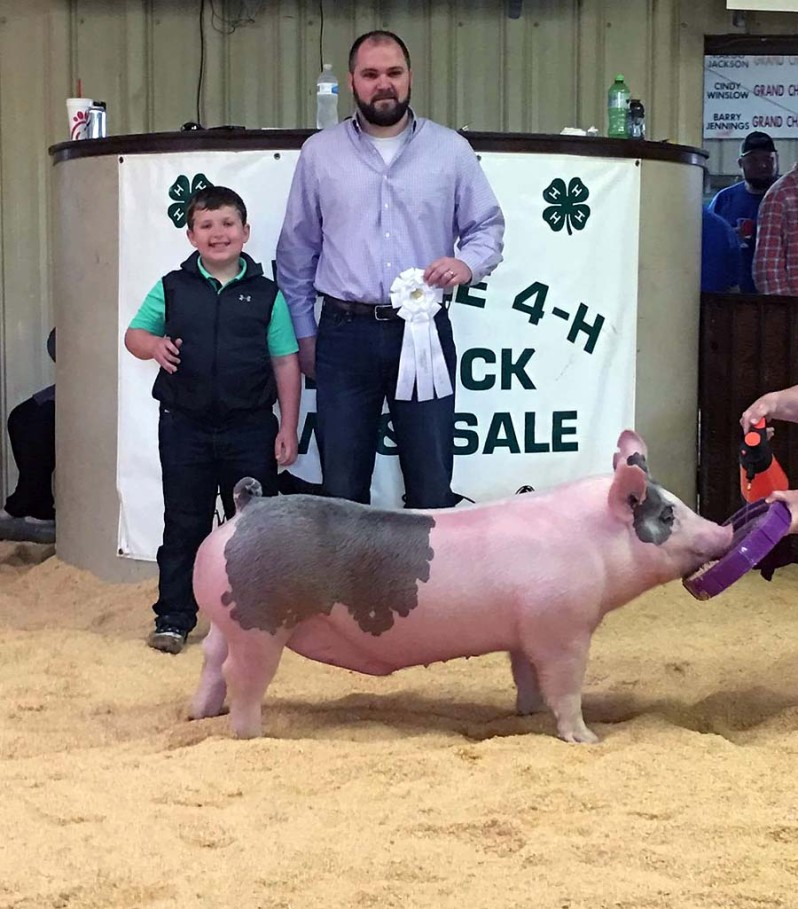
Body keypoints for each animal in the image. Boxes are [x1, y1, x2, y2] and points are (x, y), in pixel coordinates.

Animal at [191, 432, 736, 744]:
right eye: (668, 515)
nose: (725, 531)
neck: (592, 543)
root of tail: (248, 507)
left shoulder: (525, 633)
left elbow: (526, 676)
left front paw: (526, 714)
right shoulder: (562, 628)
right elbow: (566, 685)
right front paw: (586, 739)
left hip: (227, 620)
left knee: (212, 661)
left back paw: (199, 715)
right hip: (260, 624)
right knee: (242, 677)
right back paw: (253, 735)